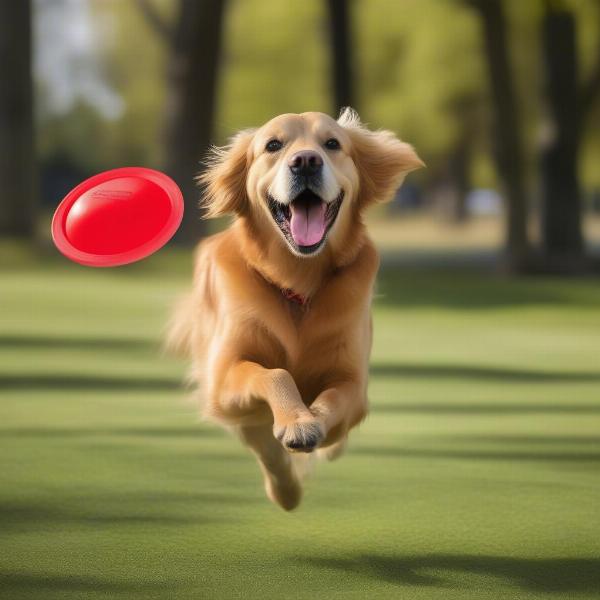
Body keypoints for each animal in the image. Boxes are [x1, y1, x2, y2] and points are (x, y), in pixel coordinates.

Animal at [169, 109, 422, 510]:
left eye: (332, 143)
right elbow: (275, 374)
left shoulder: (353, 382)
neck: (297, 283)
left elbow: (332, 400)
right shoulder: (223, 377)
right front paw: (296, 424)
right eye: (273, 145)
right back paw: (285, 489)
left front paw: (309, 423)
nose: (305, 161)